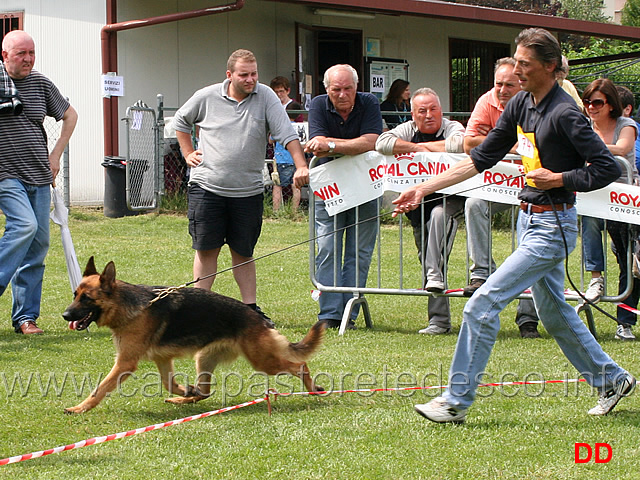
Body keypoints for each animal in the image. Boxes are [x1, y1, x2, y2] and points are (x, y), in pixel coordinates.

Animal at [61, 256, 324, 414]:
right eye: (75, 294)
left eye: (87, 298)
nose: (65, 315)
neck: (130, 306)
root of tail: (259, 319)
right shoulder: (162, 359)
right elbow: (168, 383)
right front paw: (183, 391)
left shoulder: (125, 363)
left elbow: (100, 388)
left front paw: (79, 408)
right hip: (204, 358)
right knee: (205, 392)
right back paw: (186, 397)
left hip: (263, 362)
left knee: (300, 365)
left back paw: (313, 388)